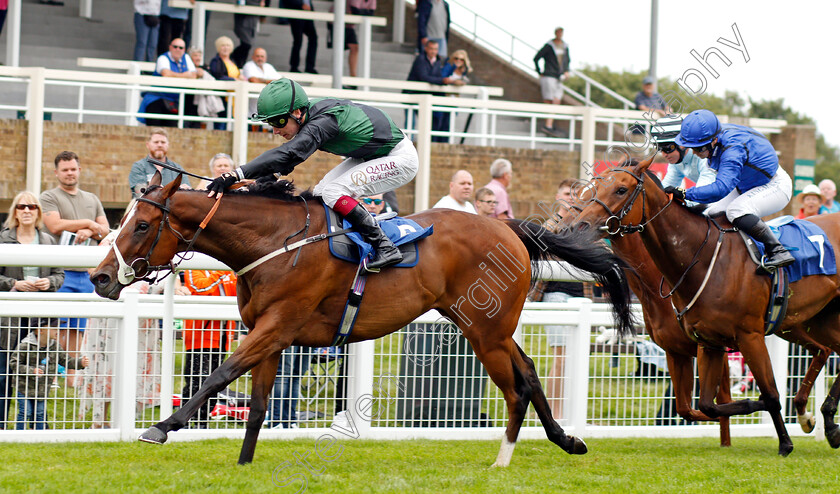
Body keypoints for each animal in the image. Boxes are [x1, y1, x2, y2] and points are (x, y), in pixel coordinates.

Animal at [90, 172, 636, 466]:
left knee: (517, 386)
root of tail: (509, 229)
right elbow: (261, 402)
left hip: (486, 330)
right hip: (487, 327)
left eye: (142, 224)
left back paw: (502, 459)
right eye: (121, 219)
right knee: (531, 373)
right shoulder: (271, 333)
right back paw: (567, 440)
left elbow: (219, 375)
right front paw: (244, 464)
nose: (99, 278)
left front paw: (162, 426)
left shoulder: (277, 325)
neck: (274, 243)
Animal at [572, 157, 840, 456]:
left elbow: (768, 394)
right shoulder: (703, 343)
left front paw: (784, 442)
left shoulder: (749, 337)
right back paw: (816, 418)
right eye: (593, 187)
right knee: (823, 349)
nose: (579, 225)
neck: (700, 259)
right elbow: (703, 405)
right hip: (807, 321)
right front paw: (753, 411)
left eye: (621, 189)